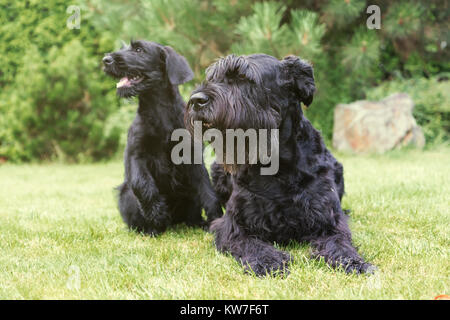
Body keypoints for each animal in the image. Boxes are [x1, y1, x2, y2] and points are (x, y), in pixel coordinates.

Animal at [102, 40, 221, 235]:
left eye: (139, 50)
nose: (106, 60)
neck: (158, 109)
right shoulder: (136, 155)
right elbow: (143, 184)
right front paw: (157, 214)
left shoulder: (192, 157)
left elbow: (206, 189)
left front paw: (215, 219)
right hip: (125, 192)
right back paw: (149, 228)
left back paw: (198, 222)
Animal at [185, 53, 374, 276]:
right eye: (213, 78)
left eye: (243, 77)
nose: (196, 100)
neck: (276, 165)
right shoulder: (233, 225)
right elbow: (251, 243)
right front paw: (268, 260)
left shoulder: (328, 220)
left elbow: (339, 241)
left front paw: (352, 261)